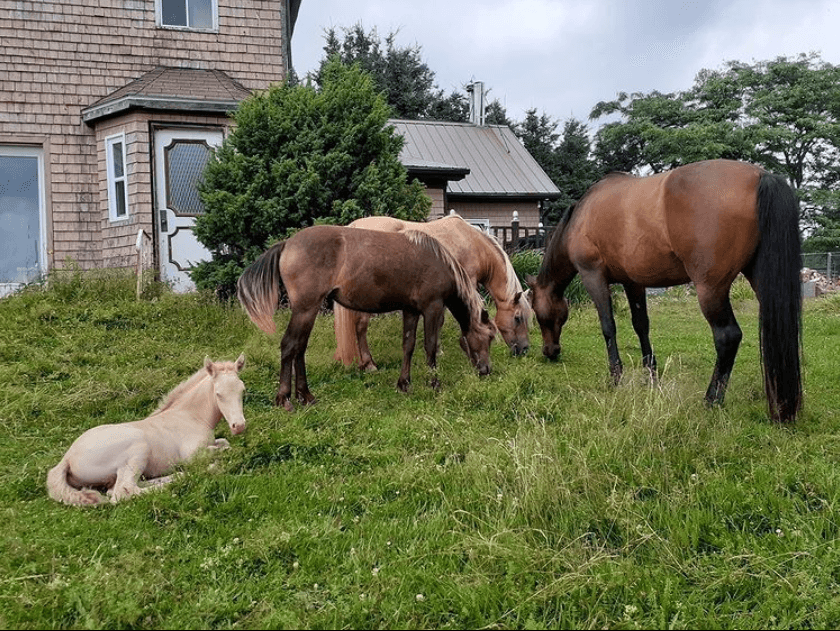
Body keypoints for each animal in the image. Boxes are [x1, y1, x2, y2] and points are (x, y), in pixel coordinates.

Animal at [47, 354, 247, 506]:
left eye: (242, 390)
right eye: (219, 394)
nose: (239, 426)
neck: (190, 416)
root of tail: (67, 459)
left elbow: (224, 443)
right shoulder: (191, 455)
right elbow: (225, 449)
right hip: (137, 449)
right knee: (124, 491)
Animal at [236, 225, 497, 411]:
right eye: (490, 337)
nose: (486, 370)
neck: (439, 260)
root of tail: (287, 243)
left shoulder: (411, 310)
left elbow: (408, 345)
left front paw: (404, 383)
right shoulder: (433, 308)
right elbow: (430, 346)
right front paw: (434, 384)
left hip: (307, 312)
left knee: (299, 349)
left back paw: (306, 395)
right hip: (305, 309)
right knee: (290, 346)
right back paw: (285, 398)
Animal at [527, 159, 802, 423]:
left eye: (538, 314)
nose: (550, 351)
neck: (581, 216)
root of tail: (761, 175)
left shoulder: (592, 275)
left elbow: (608, 326)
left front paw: (616, 377)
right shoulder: (633, 282)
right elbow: (641, 325)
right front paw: (650, 376)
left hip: (711, 290)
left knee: (728, 337)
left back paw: (711, 399)